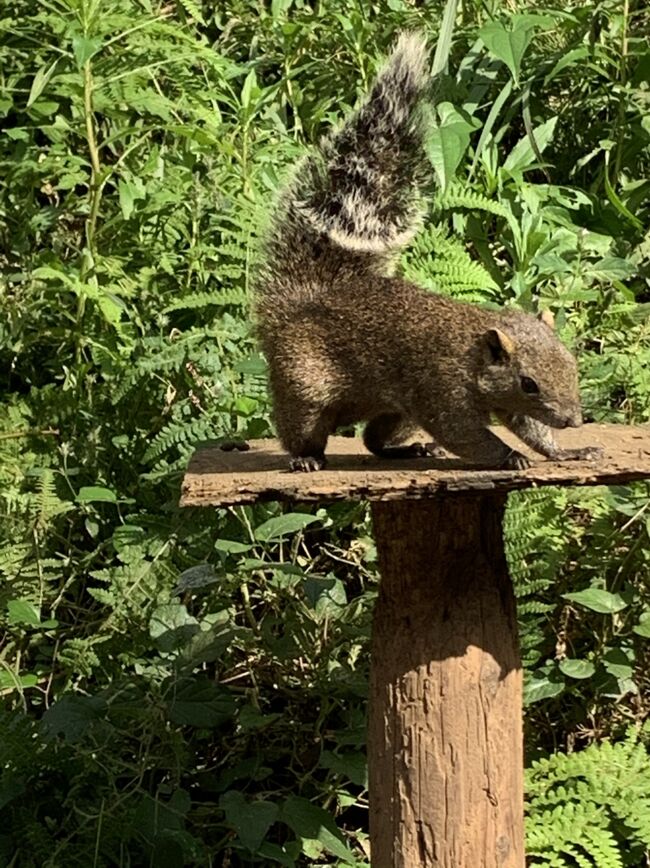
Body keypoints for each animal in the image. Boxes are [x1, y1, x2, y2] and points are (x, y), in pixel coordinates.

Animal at [253, 34, 604, 472]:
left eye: (571, 364)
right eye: (529, 384)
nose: (573, 421)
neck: (472, 353)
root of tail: (299, 303)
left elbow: (533, 431)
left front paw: (568, 451)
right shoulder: (441, 388)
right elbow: (466, 435)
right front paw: (511, 457)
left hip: (397, 414)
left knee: (374, 439)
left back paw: (411, 449)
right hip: (305, 387)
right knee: (301, 429)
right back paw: (306, 459)